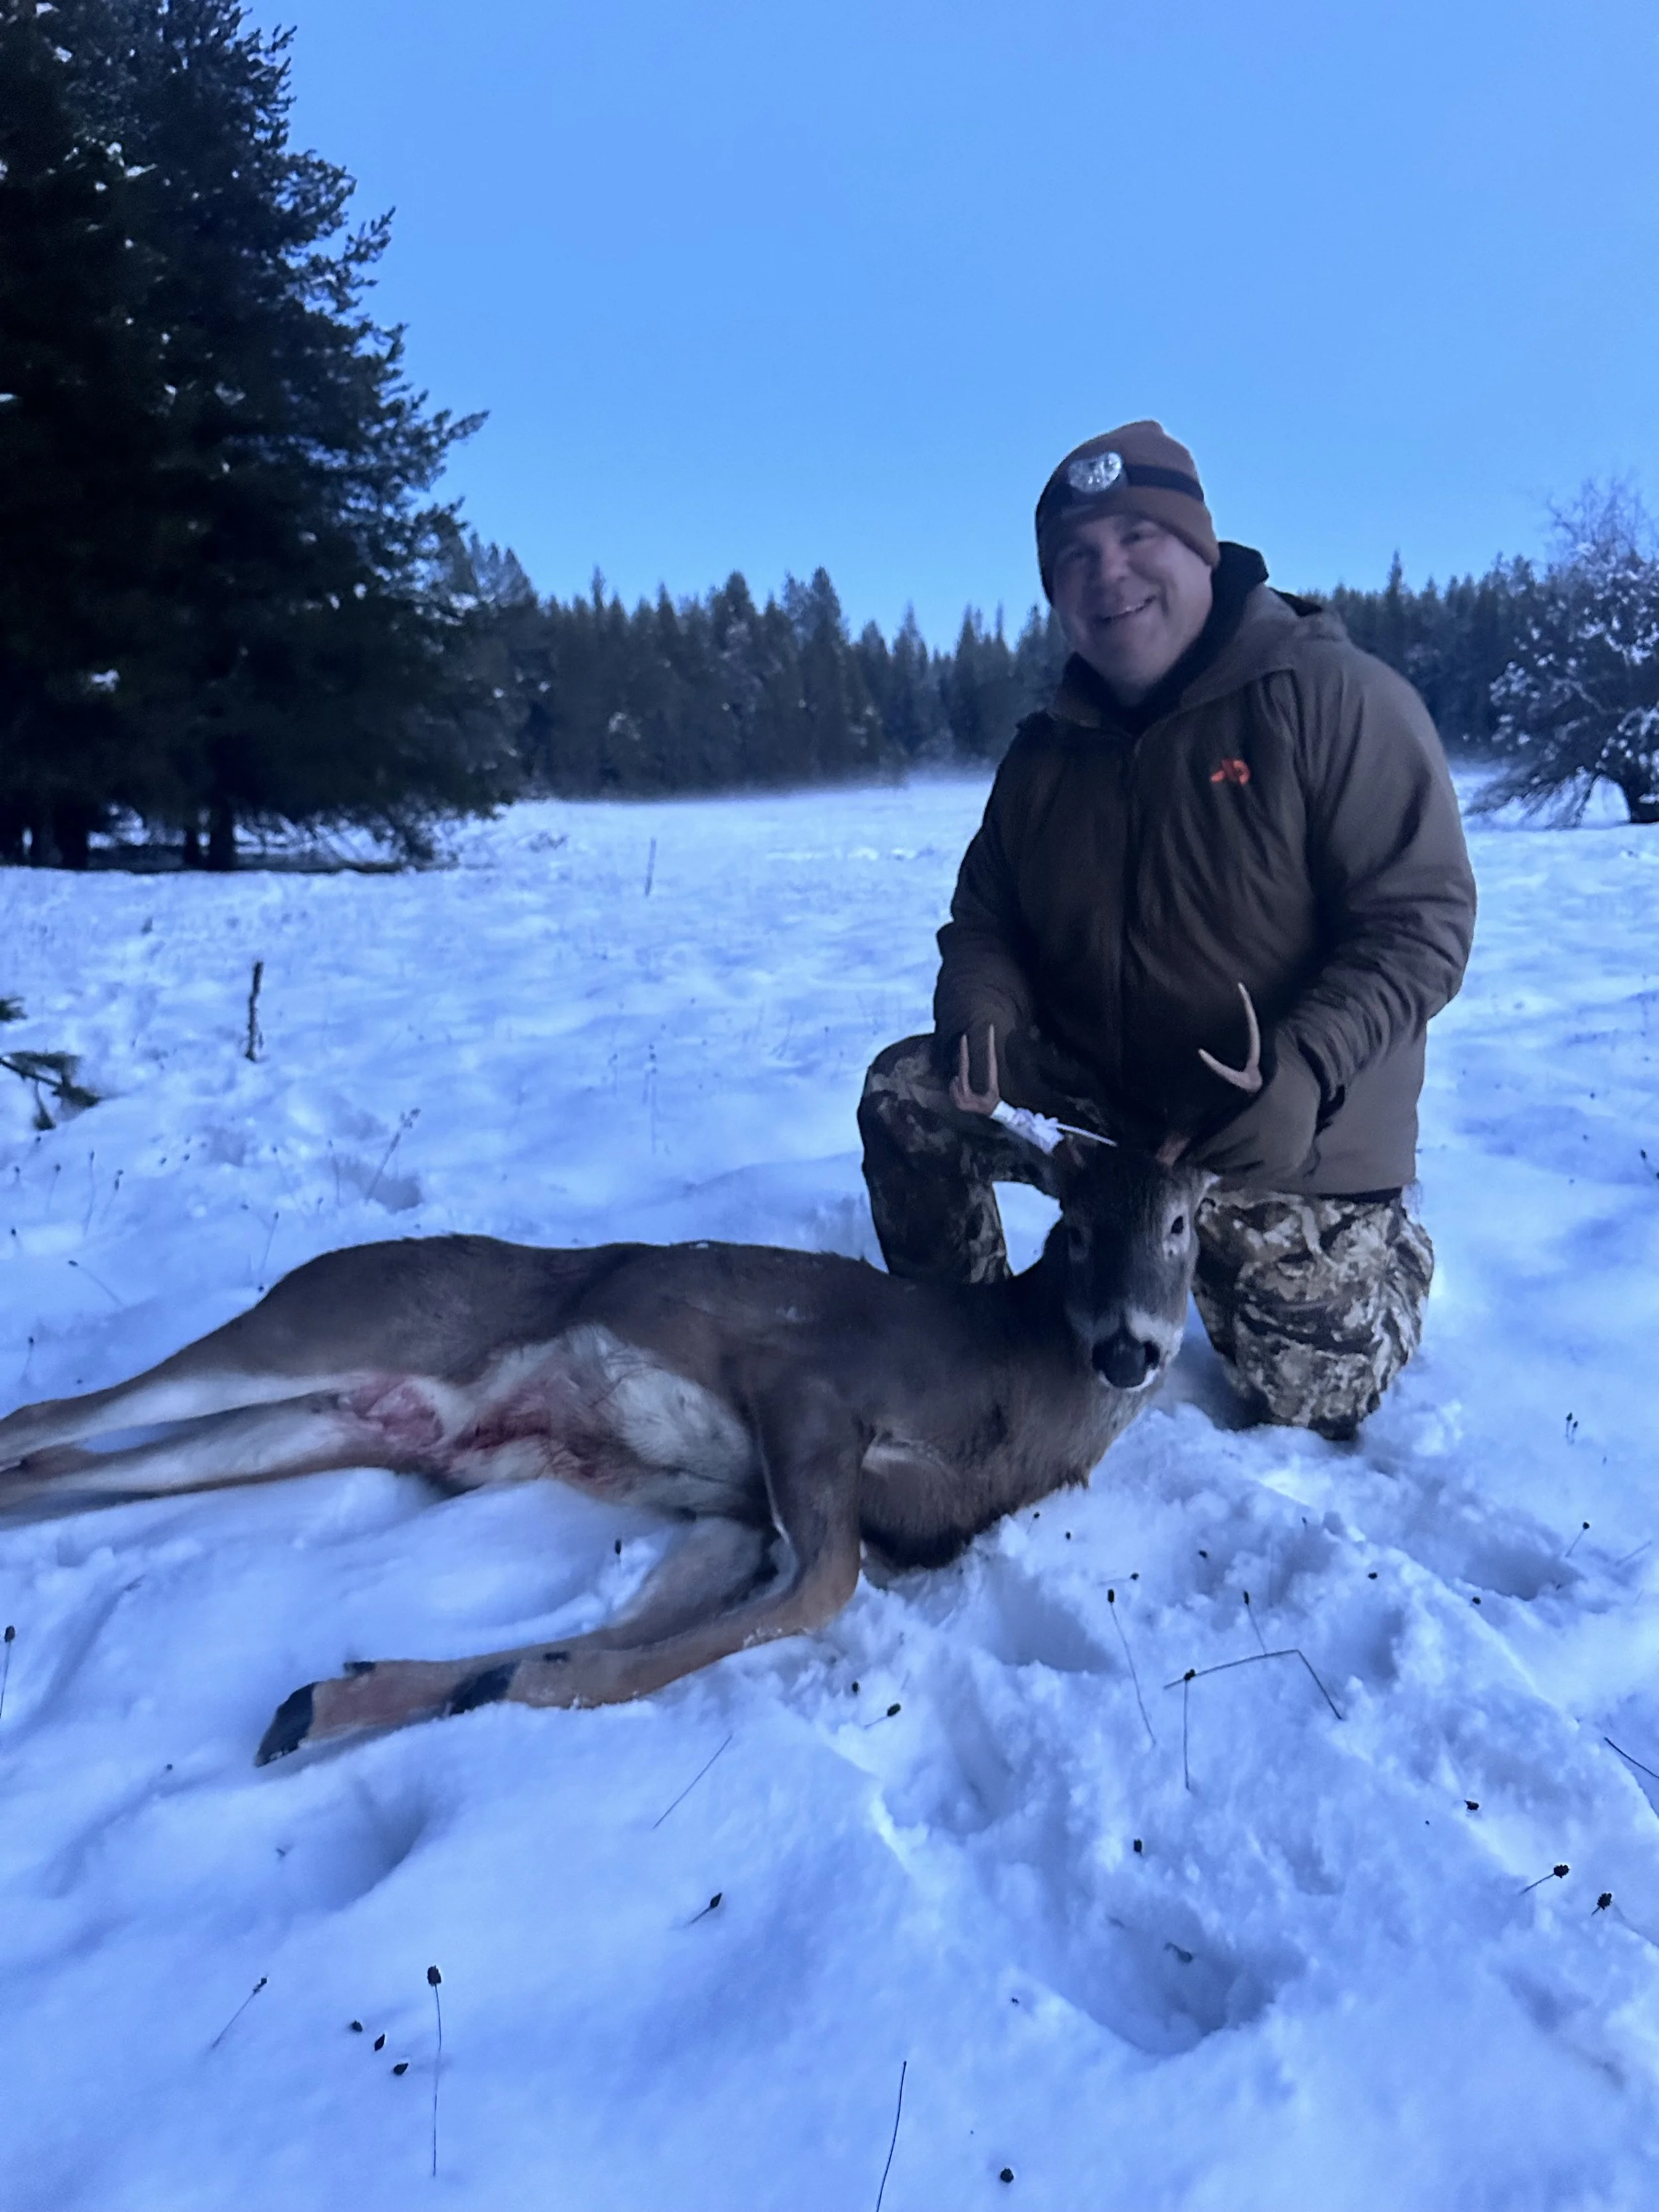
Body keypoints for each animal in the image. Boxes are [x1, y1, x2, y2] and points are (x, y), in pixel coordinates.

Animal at [0, 997, 1261, 1769]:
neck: (1013, 1400)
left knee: (66, 1456)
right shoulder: (808, 1388)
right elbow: (820, 1588)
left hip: (333, 1422)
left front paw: (371, 1692)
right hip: (313, 1328)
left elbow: (649, 1620)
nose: (1130, 1350)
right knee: (46, 1411)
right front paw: (497, 1682)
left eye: (1184, 1222)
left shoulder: (738, 1511)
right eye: (1075, 1226)